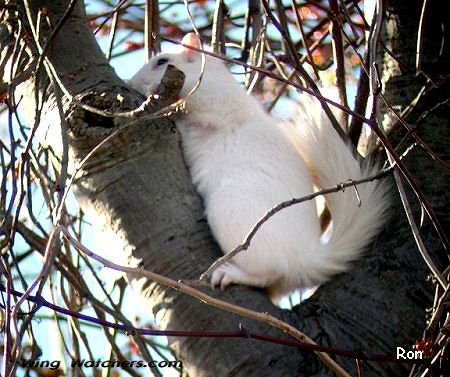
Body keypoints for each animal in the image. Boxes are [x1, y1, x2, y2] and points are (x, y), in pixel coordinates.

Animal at [129, 33, 390, 302]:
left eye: (162, 62)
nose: (130, 83)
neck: (211, 76)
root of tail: (304, 261)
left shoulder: (216, 103)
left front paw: (154, 95)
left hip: (234, 214)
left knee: (269, 271)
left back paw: (231, 274)